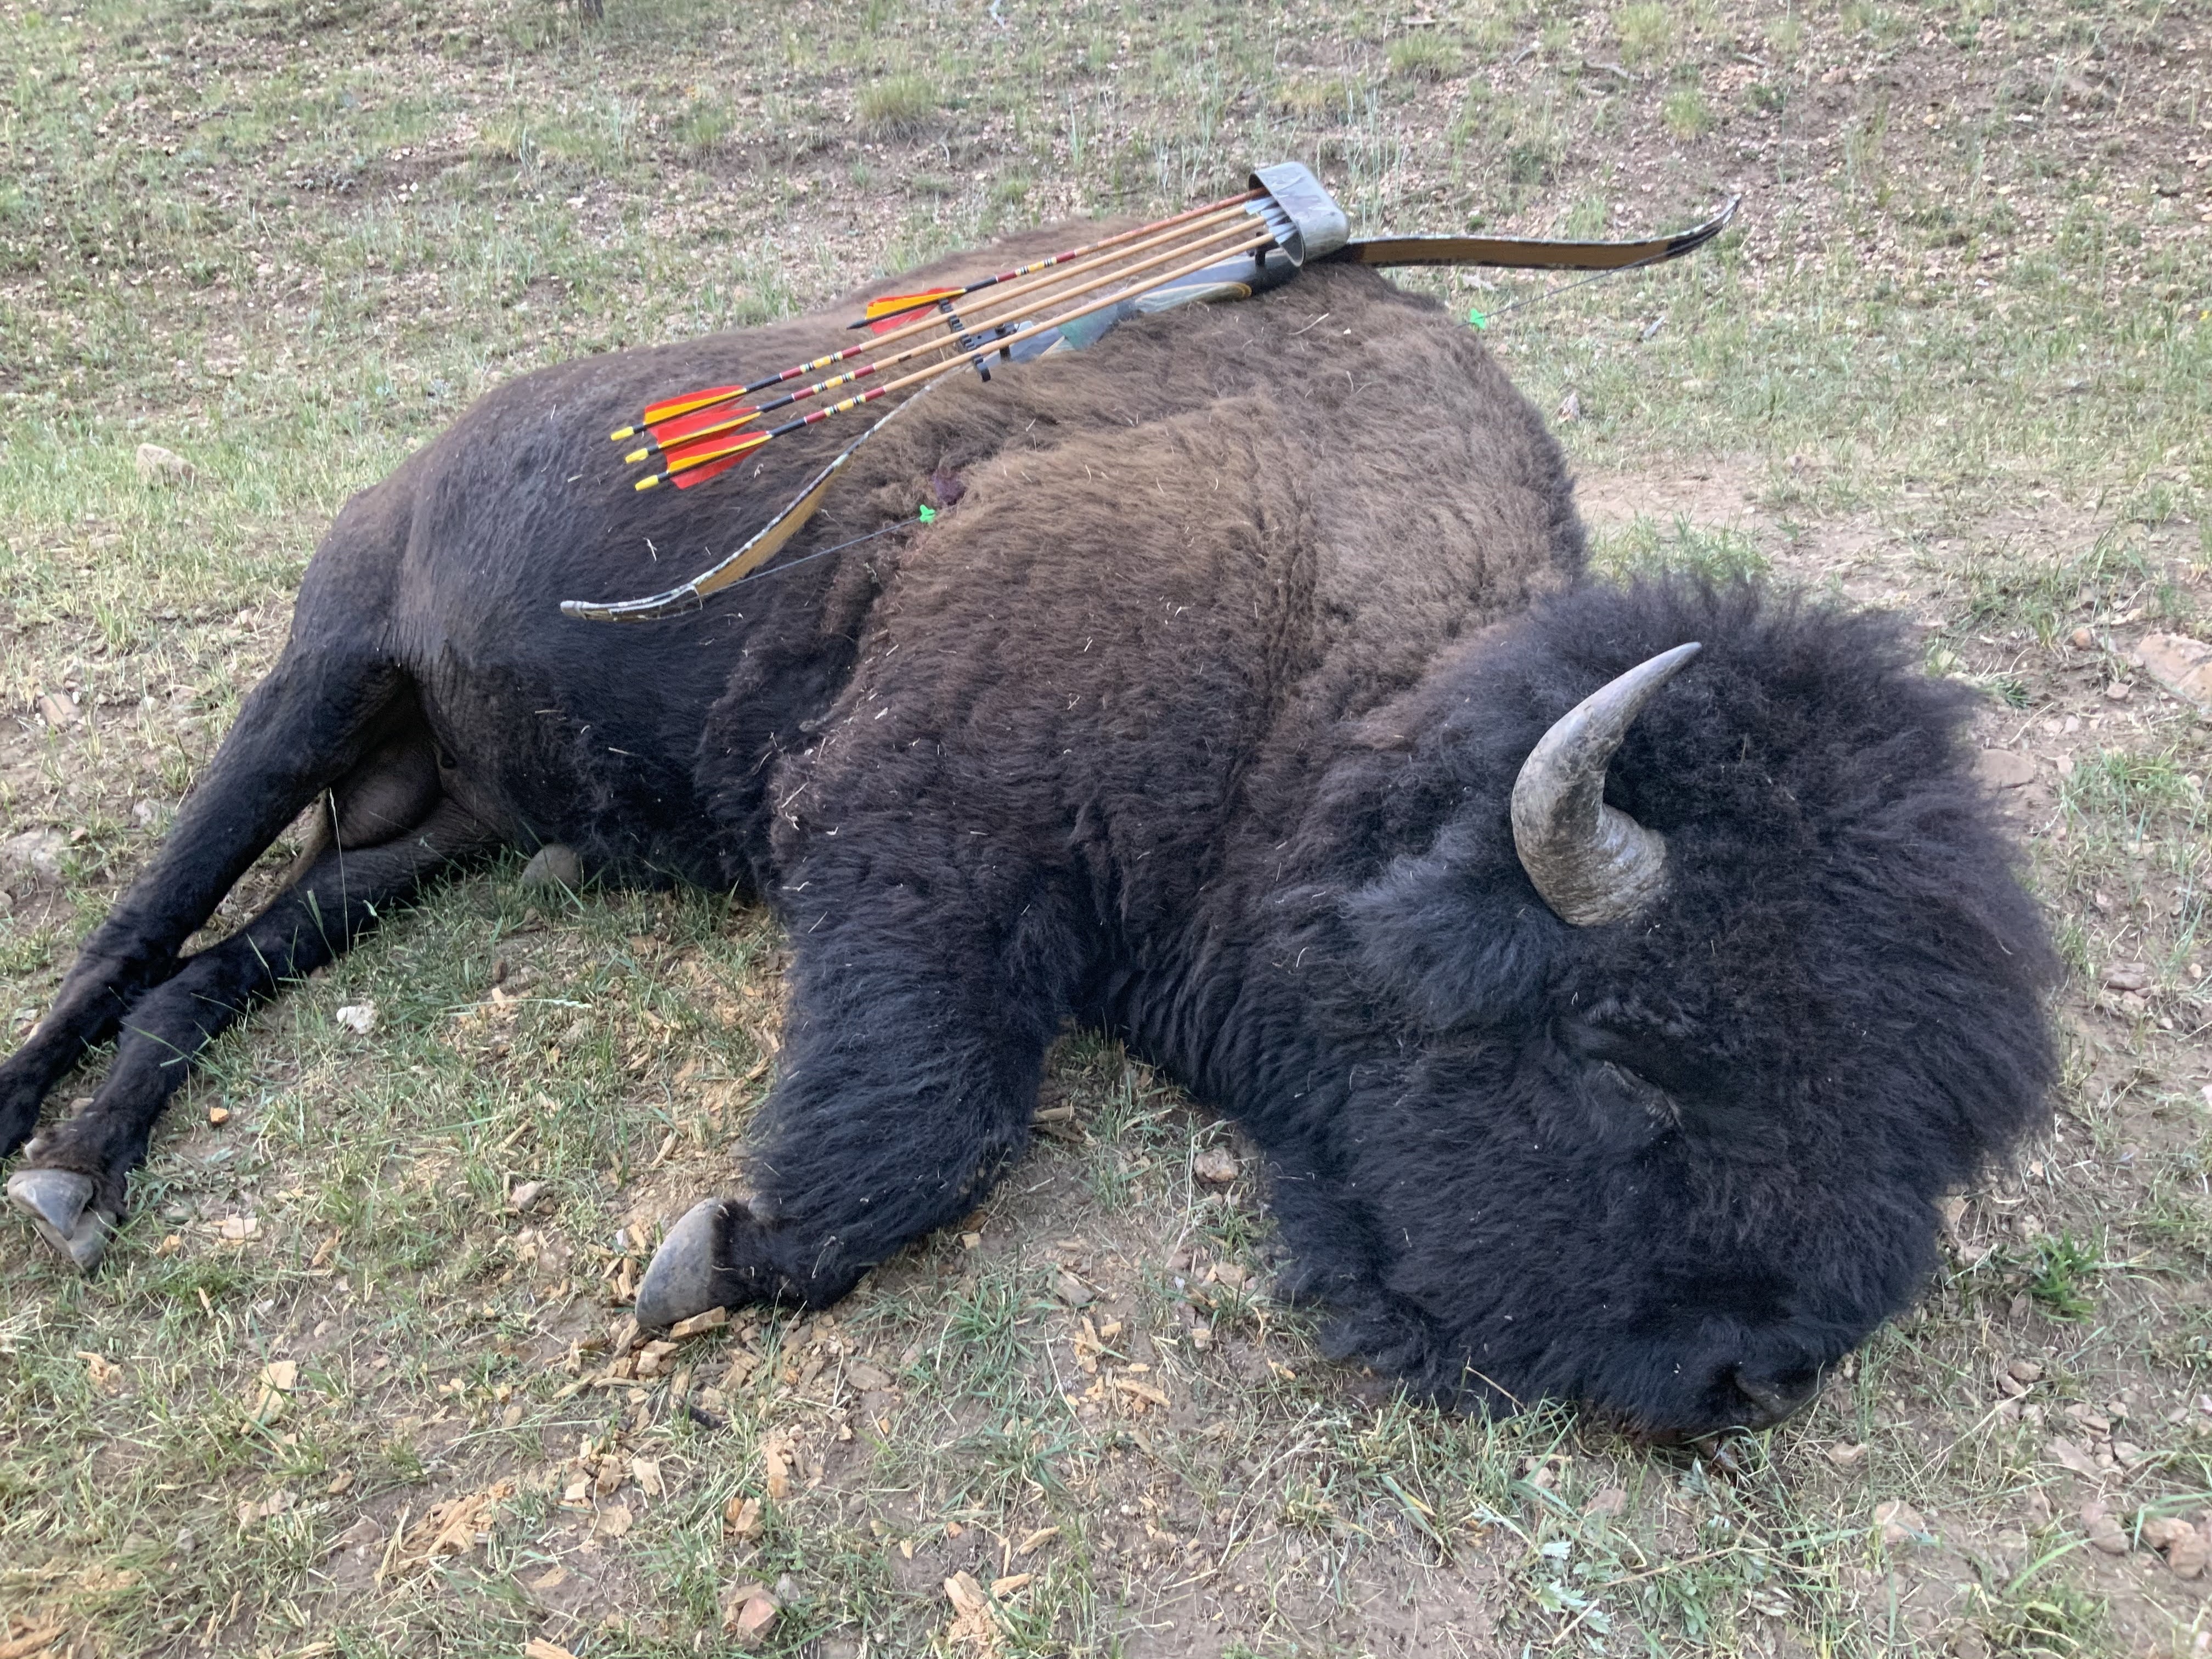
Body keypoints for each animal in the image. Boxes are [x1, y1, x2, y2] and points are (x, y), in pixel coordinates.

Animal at [0, 224, 2055, 1435]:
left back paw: (86, 1179)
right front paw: (713, 1255)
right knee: (136, 932)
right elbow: (939, 1118)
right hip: (317, 677)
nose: (1748, 1375)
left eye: (1924, 1134)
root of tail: (432, 450)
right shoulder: (911, 845)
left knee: (220, 969)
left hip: (423, 841)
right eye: (1634, 1067)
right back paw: (37, 1142)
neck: (1325, 670)